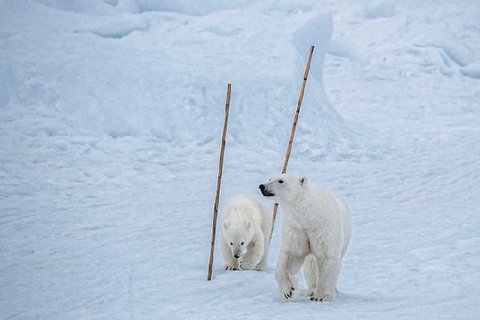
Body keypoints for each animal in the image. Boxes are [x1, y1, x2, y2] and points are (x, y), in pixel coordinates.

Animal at [258, 174, 352, 302]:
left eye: (281, 181)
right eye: (269, 179)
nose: (262, 186)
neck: (309, 214)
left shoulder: (323, 227)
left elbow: (326, 256)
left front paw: (321, 296)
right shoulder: (297, 227)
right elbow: (292, 254)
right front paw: (288, 290)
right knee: (311, 264)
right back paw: (310, 290)